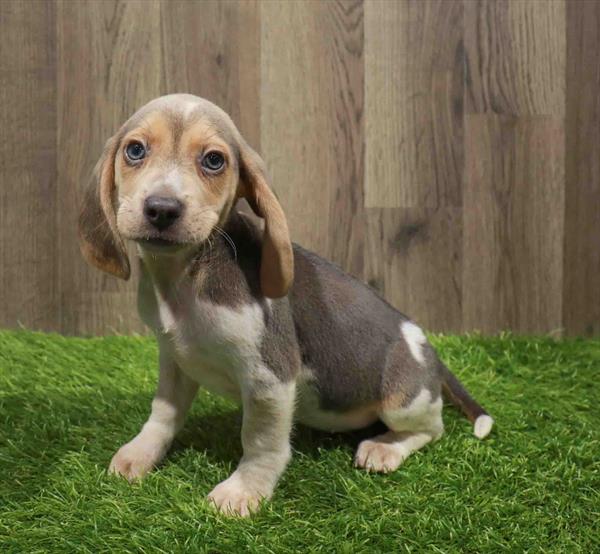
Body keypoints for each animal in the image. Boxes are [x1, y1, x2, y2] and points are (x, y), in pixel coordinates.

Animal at [78, 94, 492, 512]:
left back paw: (384, 449)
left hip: (402, 402)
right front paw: (141, 452)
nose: (162, 208)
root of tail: (429, 351)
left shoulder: (269, 377)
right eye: (135, 150)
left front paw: (244, 490)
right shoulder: (174, 358)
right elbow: (163, 414)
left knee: (432, 429)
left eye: (214, 160)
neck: (183, 278)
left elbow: (260, 441)